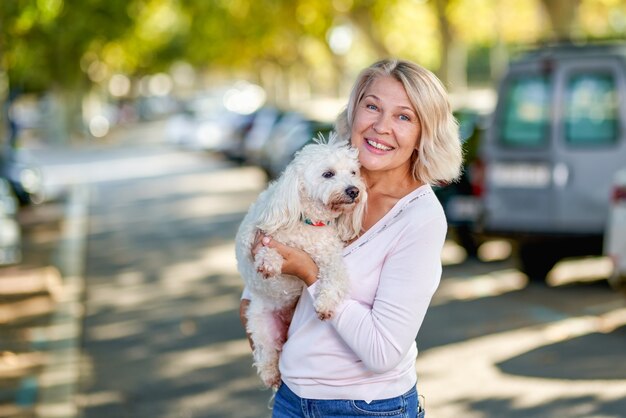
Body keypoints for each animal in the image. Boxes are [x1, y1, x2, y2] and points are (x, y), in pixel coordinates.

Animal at [236, 134, 368, 388]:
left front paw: (325, 304)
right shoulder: (256, 236)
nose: (354, 190)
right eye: (328, 174)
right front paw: (269, 262)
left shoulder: (330, 257)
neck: (308, 222)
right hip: (260, 324)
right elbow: (265, 247)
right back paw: (271, 374)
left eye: (353, 172)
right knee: (266, 353)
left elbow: (336, 277)